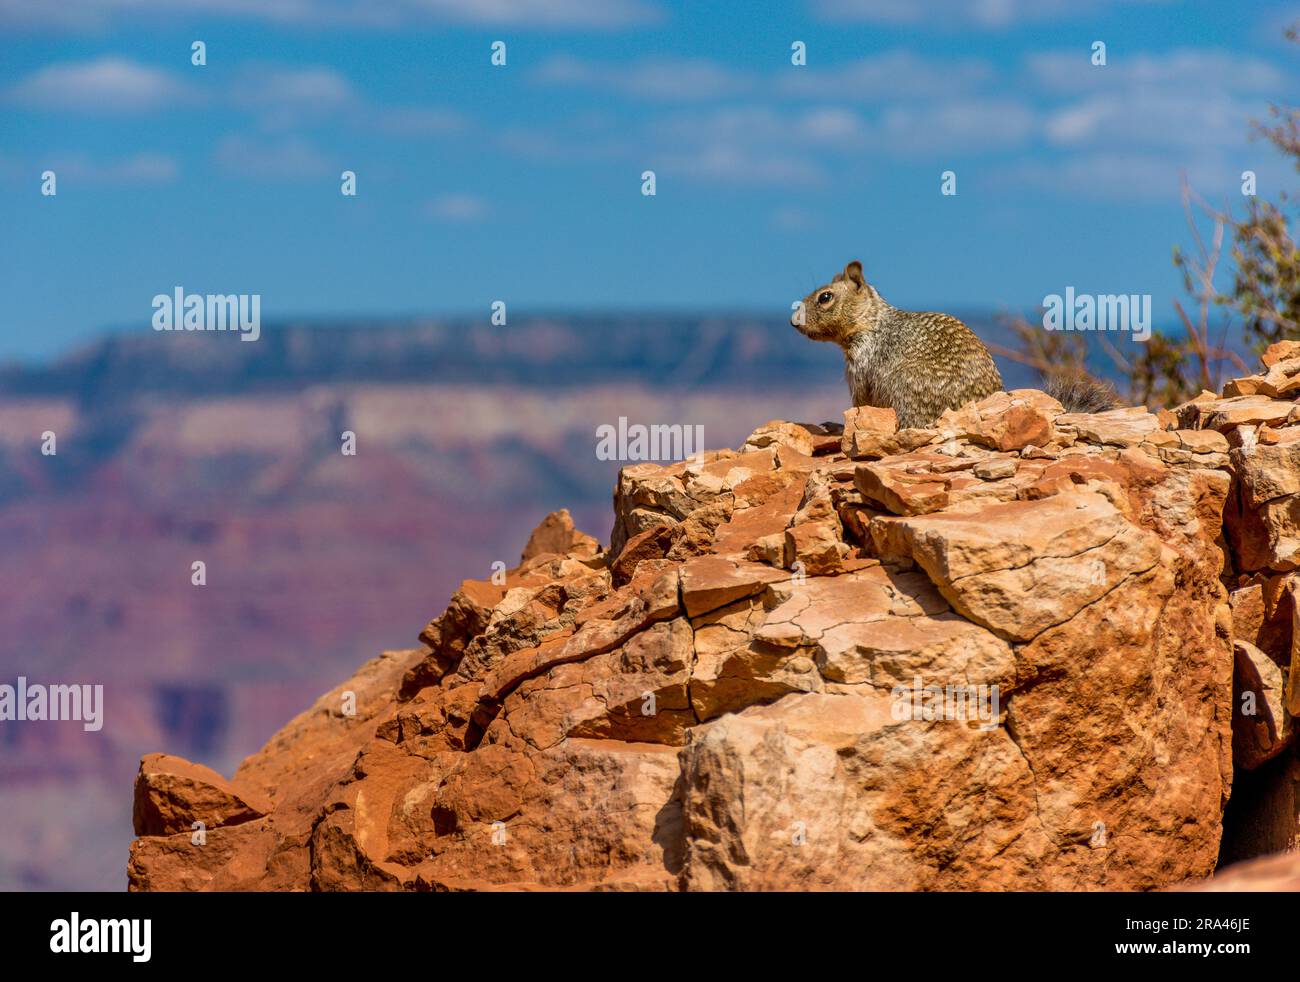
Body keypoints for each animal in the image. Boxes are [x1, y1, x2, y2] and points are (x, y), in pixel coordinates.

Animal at [790, 261, 1118, 429]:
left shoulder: (862, 367)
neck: (872, 321)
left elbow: (860, 404)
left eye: (825, 297)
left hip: (905, 387)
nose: (793, 321)